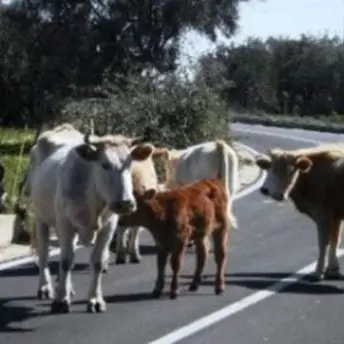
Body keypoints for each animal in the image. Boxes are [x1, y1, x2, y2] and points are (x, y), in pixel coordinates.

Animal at [28, 127, 155, 314]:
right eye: (105, 164)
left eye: (129, 164)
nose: (126, 202)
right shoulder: (66, 224)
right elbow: (66, 261)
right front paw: (60, 300)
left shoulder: (109, 226)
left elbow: (98, 262)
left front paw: (95, 300)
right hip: (40, 217)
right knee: (44, 253)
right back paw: (45, 288)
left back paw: (68, 288)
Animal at [255, 144, 344, 280]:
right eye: (270, 168)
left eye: (291, 171)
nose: (267, 190)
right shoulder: (336, 216)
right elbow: (335, 240)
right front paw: (333, 270)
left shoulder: (323, 215)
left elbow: (323, 242)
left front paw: (318, 272)